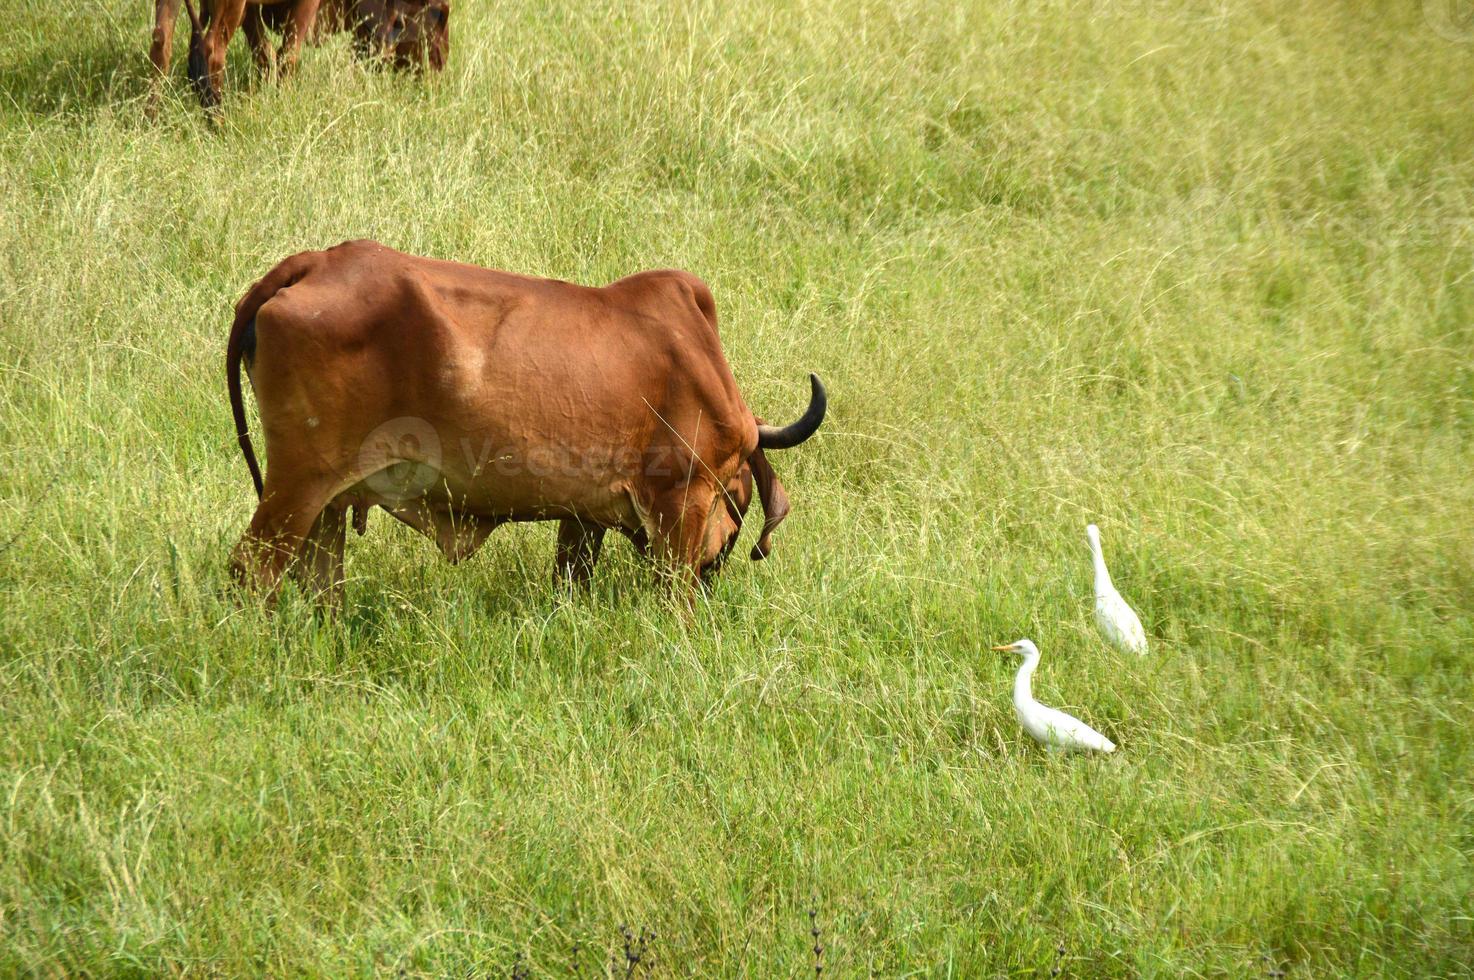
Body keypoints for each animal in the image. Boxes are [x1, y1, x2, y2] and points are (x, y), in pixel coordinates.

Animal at [226, 240, 831, 607]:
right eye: (742, 493)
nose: (715, 578)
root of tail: (313, 262)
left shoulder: (584, 514)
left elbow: (572, 575)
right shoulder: (681, 498)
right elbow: (674, 596)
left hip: (327, 501)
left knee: (319, 579)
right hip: (299, 481)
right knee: (252, 568)